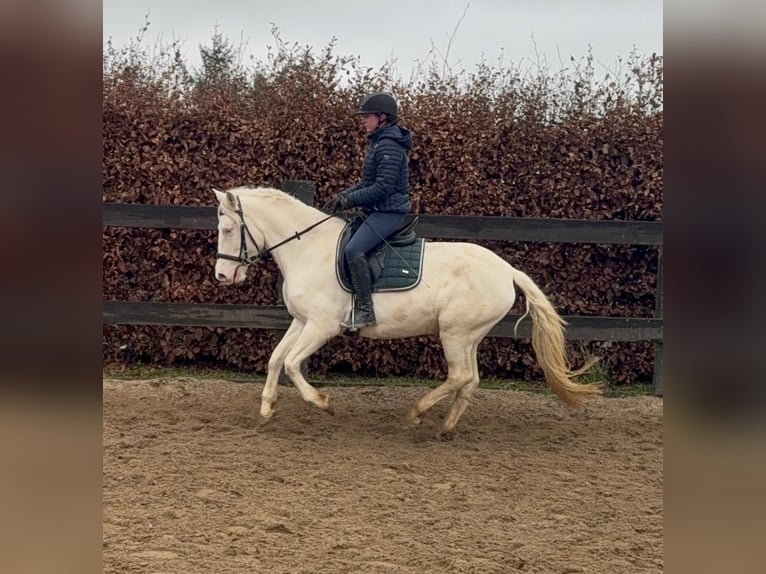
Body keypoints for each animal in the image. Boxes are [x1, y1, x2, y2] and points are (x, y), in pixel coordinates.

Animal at [213, 186, 601, 434]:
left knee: (459, 376)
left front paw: (322, 402)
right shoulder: (301, 321)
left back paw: (417, 413)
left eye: (228, 228)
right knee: (470, 379)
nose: (222, 276)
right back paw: (446, 428)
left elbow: (293, 363)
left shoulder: (321, 326)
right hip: (469, 336)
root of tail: (508, 270)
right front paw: (266, 409)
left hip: (455, 333)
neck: (308, 248)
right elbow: (276, 359)